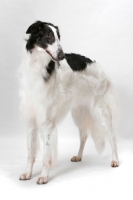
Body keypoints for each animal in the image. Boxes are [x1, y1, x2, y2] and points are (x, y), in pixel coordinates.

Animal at [19, 20, 119, 184]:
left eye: (58, 37)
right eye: (48, 35)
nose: (62, 55)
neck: (38, 68)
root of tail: (99, 66)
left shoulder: (47, 122)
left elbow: (46, 155)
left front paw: (43, 176)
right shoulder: (31, 120)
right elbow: (30, 152)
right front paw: (27, 173)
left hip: (101, 111)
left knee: (112, 136)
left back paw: (115, 160)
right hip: (79, 113)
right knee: (84, 136)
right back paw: (78, 156)